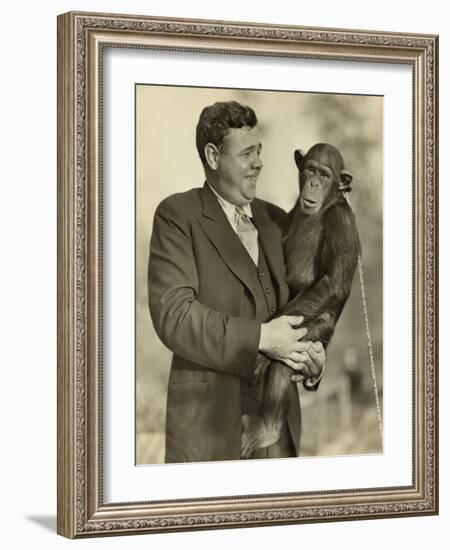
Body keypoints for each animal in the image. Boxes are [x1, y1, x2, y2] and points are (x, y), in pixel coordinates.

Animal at [241, 143, 360, 462]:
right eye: (310, 169)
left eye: (325, 174)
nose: (314, 183)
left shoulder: (342, 222)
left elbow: (332, 283)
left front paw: (258, 357)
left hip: (315, 332)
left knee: (283, 361)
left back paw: (268, 428)